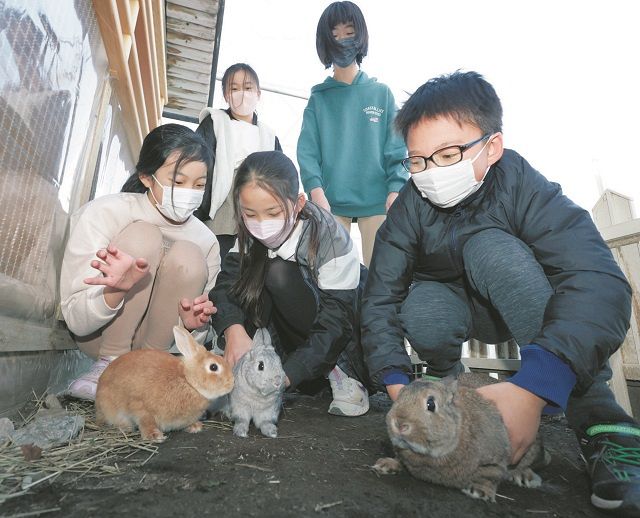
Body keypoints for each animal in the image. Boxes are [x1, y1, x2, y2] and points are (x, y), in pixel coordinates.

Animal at [95, 330, 235, 442]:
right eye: (213, 367)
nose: (232, 383)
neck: (188, 382)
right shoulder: (139, 405)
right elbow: (145, 421)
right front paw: (154, 436)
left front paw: (195, 426)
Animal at [376, 374, 552, 504]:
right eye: (399, 397)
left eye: (431, 404)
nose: (399, 424)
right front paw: (386, 465)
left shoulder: (495, 461)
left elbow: (489, 475)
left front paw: (479, 492)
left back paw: (525, 477)